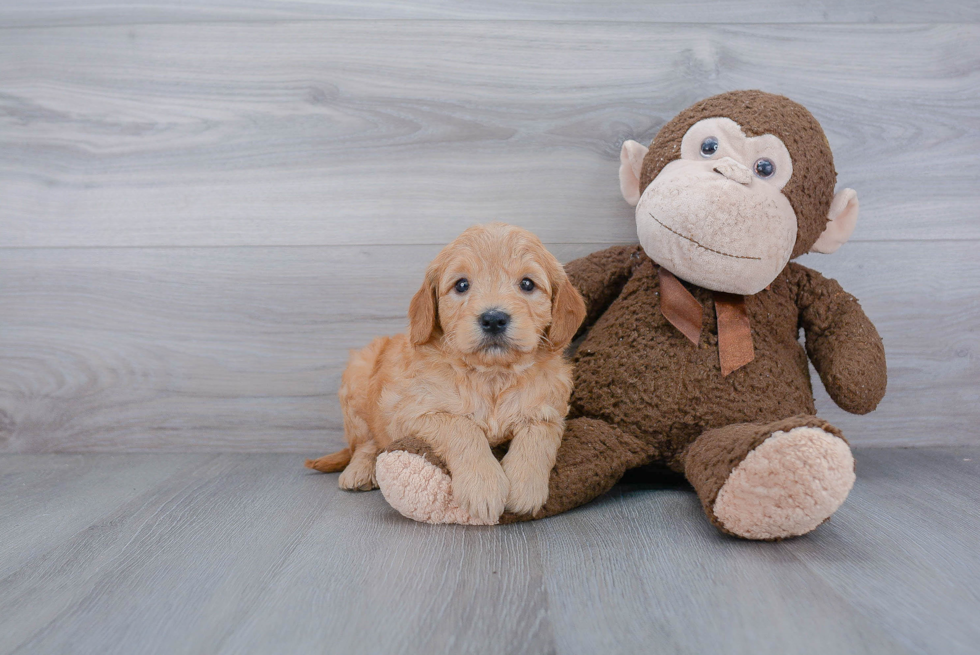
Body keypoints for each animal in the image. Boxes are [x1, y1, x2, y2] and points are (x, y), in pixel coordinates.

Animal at [302, 224, 584, 524]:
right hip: (357, 378)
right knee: (364, 442)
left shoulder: (550, 409)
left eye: (528, 284)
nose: (493, 319)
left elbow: (538, 434)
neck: (492, 376)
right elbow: (461, 426)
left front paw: (525, 487)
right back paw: (359, 471)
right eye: (461, 284)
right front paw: (483, 486)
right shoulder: (410, 412)